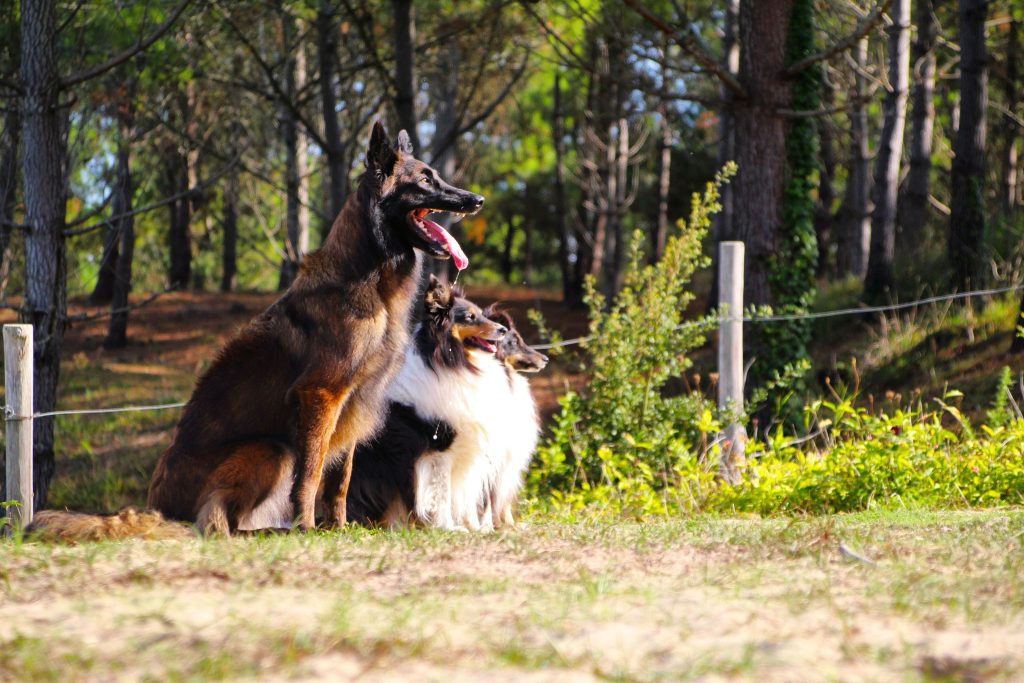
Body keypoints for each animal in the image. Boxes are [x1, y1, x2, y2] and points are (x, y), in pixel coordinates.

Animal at [28, 122, 483, 540]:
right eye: (425, 181)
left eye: (436, 176)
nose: (476, 200)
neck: (366, 277)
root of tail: (156, 508)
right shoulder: (321, 396)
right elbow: (312, 474)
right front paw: (308, 528)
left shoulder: (354, 403)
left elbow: (340, 478)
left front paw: (337, 527)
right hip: (270, 448)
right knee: (215, 522)